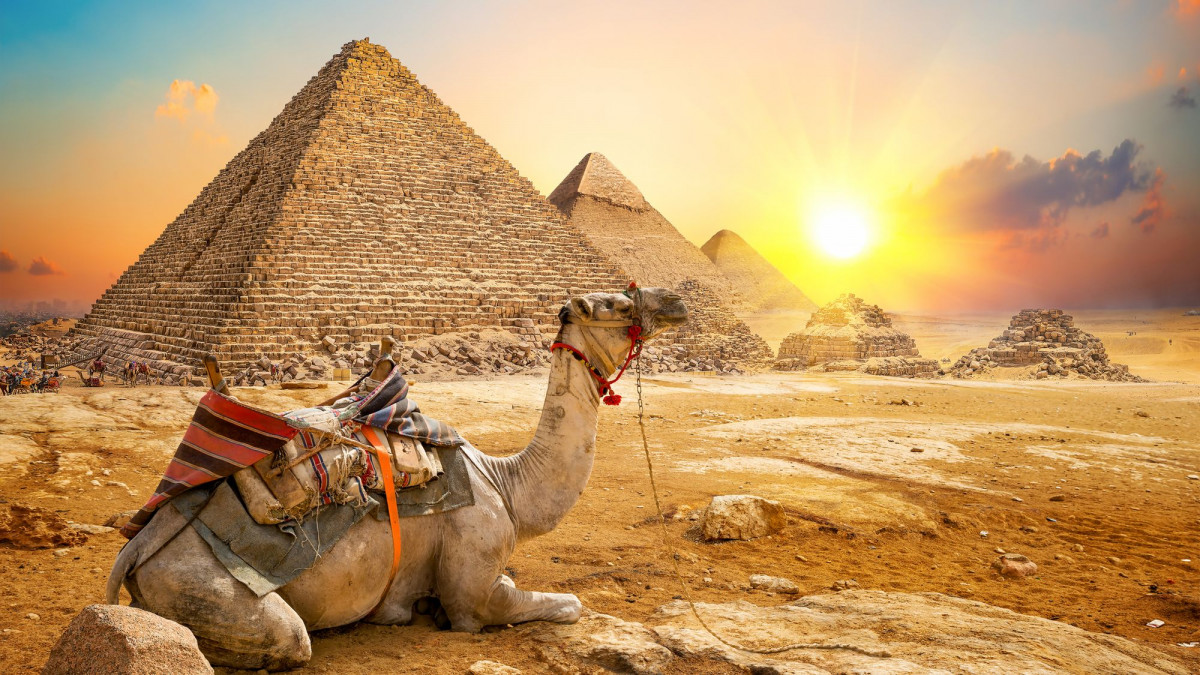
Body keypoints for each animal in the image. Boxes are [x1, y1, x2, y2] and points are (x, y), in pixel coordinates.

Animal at [106, 287, 688, 670]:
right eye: (621, 306)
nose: (677, 303)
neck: (507, 484)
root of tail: (135, 550)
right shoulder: (474, 589)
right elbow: (565, 605)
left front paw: (407, 611)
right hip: (202, 587)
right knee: (287, 640)